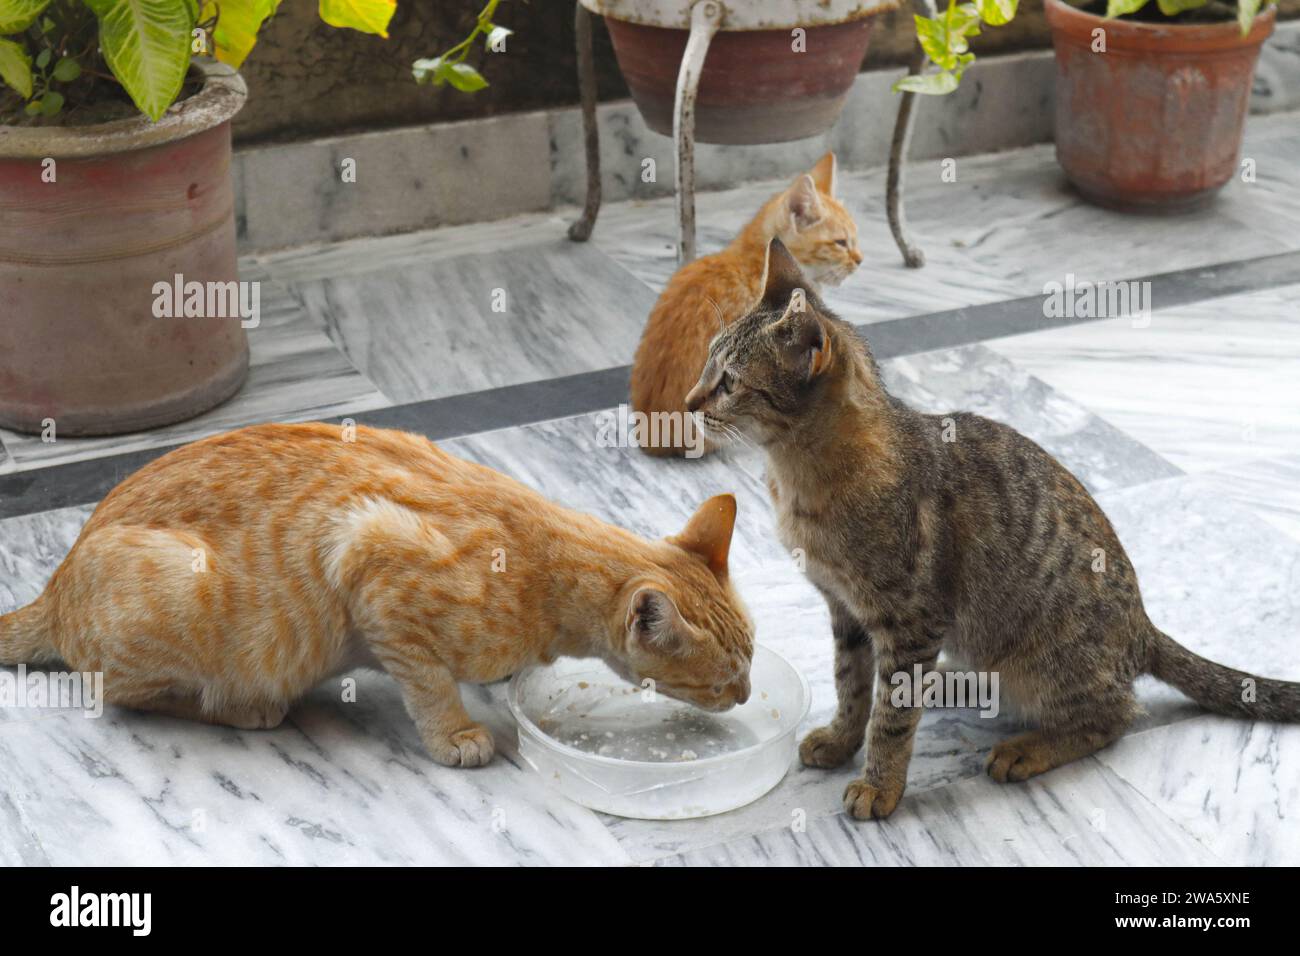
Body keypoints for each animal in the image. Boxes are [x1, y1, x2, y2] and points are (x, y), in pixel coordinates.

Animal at [0, 421, 759, 764]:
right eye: (723, 681)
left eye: (751, 663)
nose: (749, 696)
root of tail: (55, 582)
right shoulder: (370, 559)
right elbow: (428, 682)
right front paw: (454, 733)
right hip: (181, 594)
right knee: (122, 690)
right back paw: (244, 706)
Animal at [681, 235, 1300, 816]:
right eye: (705, 360)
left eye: (729, 381)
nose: (687, 401)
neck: (801, 480)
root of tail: (1143, 627)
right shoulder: (846, 610)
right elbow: (852, 686)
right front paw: (840, 739)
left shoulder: (910, 620)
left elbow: (892, 717)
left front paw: (880, 784)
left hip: (1044, 660)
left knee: (1116, 713)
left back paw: (1027, 748)